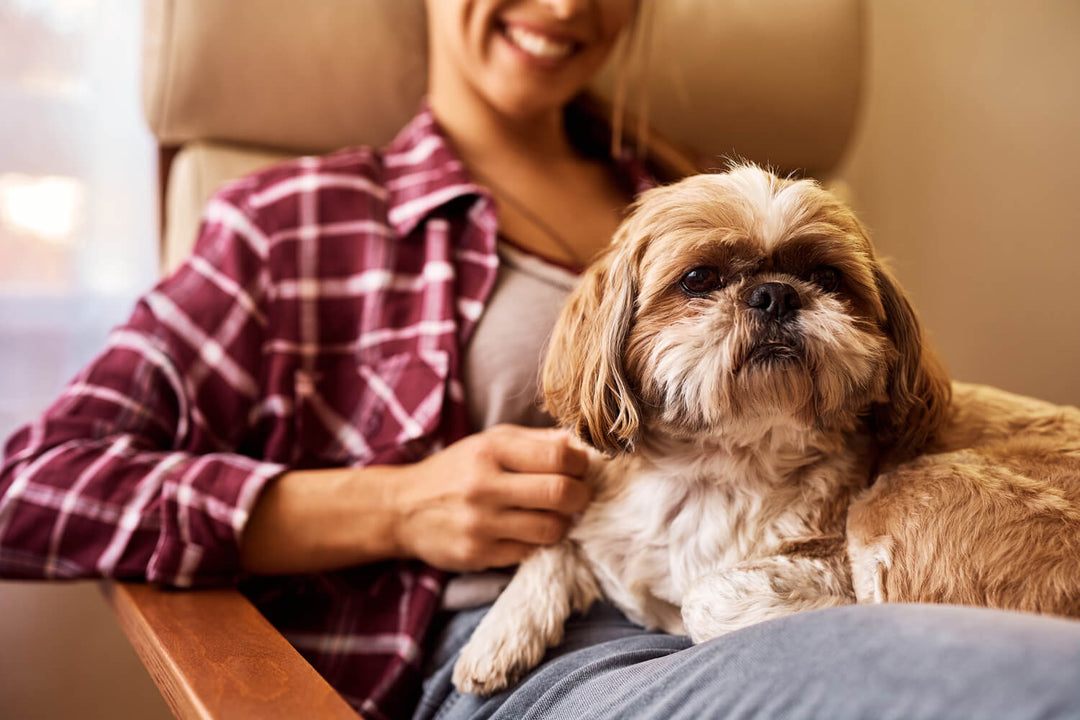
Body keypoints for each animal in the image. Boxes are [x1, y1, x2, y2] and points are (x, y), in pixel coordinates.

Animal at [451, 165, 1080, 699]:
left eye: (827, 276)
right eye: (698, 278)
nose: (776, 293)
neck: (718, 465)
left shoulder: (823, 556)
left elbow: (704, 597)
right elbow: (554, 539)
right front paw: (497, 637)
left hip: (903, 496)